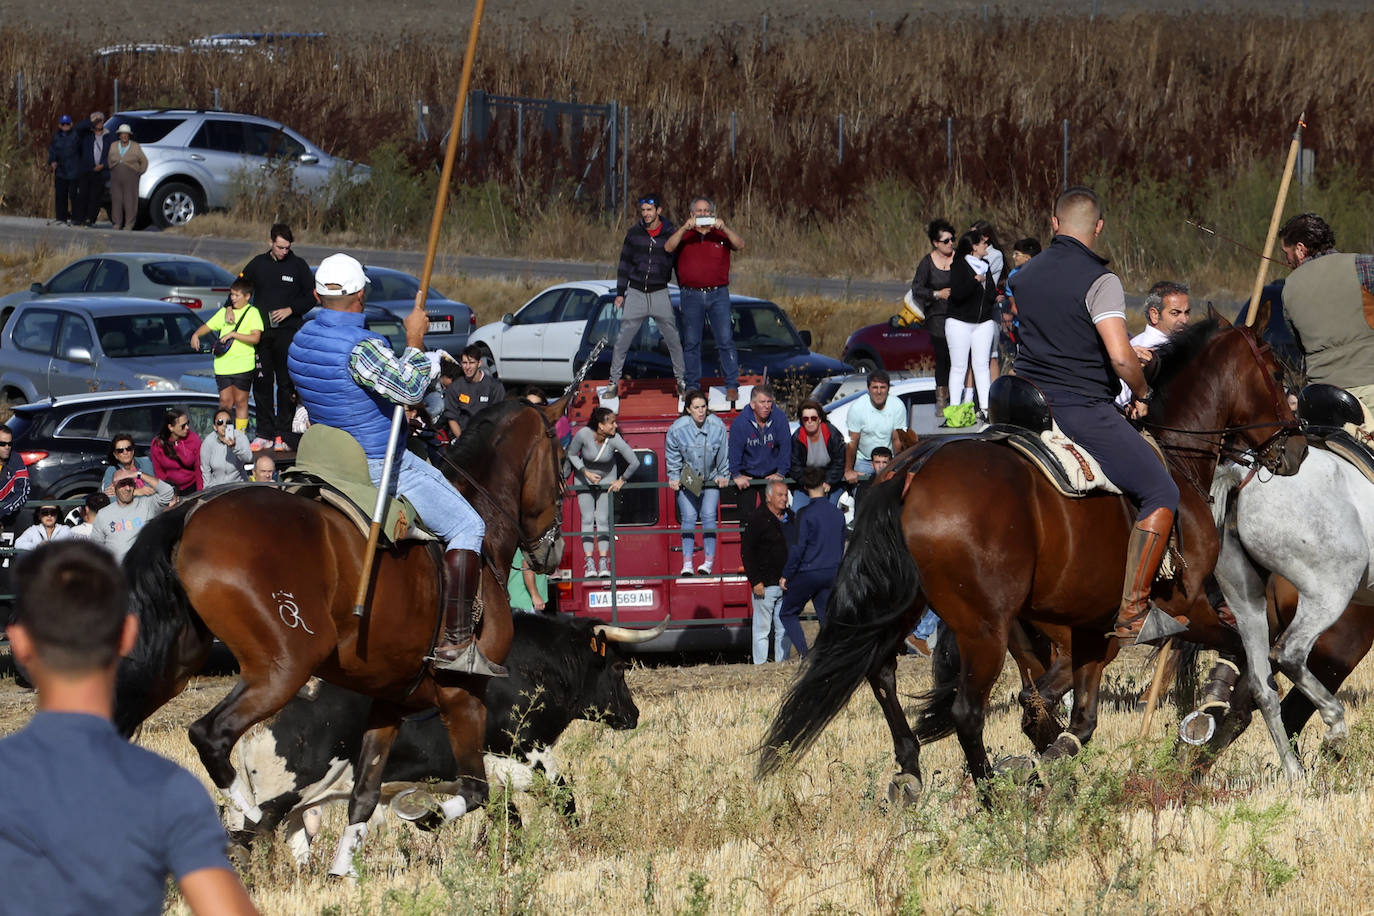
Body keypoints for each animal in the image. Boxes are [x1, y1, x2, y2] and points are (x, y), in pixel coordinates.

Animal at [114, 398, 568, 873]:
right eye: (560, 464)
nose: (553, 550)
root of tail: (193, 512)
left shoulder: (390, 699)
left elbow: (364, 794)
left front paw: (342, 869)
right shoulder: (463, 694)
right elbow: (475, 788)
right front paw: (423, 814)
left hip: (173, 666)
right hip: (281, 670)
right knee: (210, 736)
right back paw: (249, 816)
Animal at [758, 311, 1302, 796]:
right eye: (1277, 374)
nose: (1295, 448)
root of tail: (915, 467)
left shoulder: (1087, 629)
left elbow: (1074, 715)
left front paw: (1050, 757)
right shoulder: (1183, 605)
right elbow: (1239, 654)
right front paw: (1214, 716)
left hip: (907, 605)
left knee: (883, 673)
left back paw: (912, 770)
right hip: (983, 628)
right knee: (966, 711)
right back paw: (991, 797)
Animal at [1214, 450, 1374, 774]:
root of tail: (1243, 475)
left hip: (1247, 605)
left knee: (1262, 688)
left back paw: (1293, 772)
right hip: (1329, 593)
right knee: (1288, 655)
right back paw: (1335, 730)